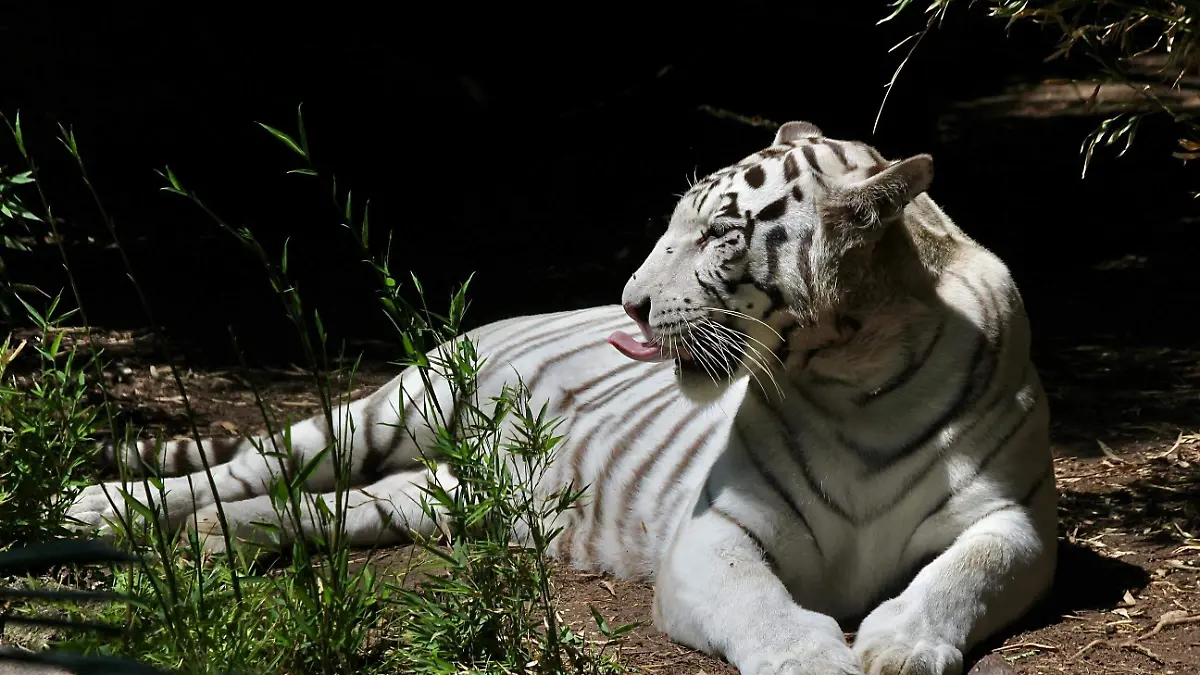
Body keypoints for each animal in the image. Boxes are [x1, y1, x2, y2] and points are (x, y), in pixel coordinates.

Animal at [68, 120, 1057, 675]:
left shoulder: (1015, 518)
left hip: (434, 495)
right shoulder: (717, 530)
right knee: (250, 461)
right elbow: (759, 600)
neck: (851, 376)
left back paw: (218, 536)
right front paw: (811, 658)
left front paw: (898, 644)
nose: (629, 301)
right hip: (386, 411)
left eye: (721, 233)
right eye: (677, 221)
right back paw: (98, 505)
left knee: (328, 504)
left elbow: (965, 571)